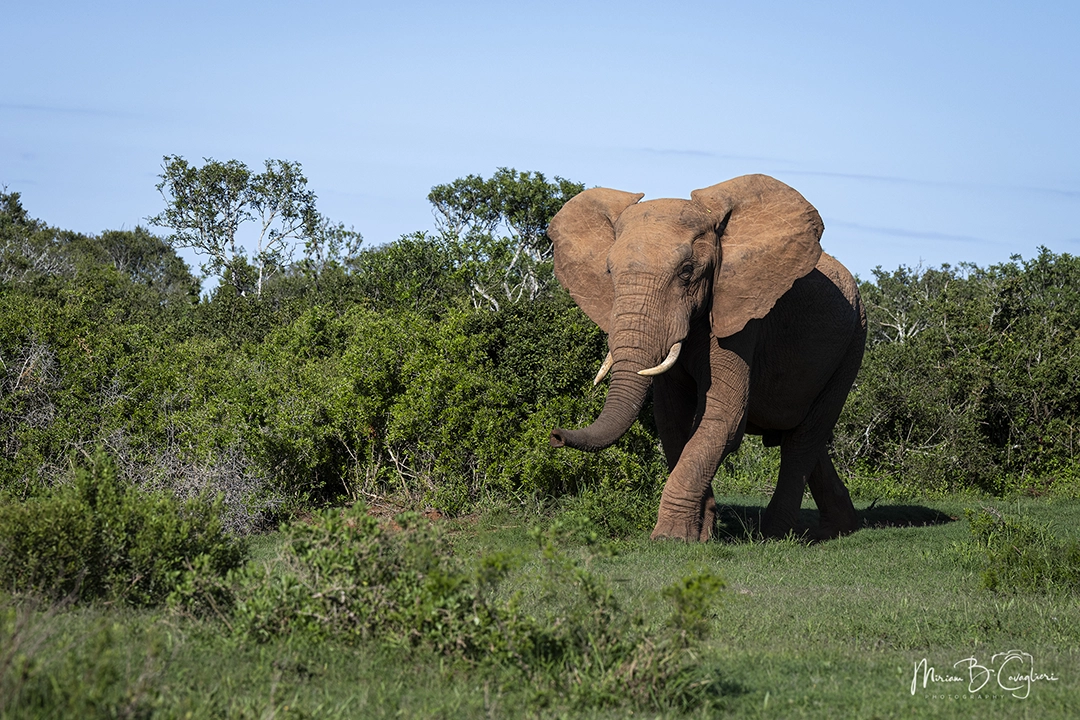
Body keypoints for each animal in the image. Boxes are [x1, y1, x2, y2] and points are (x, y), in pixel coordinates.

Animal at [547, 174, 866, 542]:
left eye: (687, 271)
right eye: (610, 272)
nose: (555, 436)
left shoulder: (741, 315)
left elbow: (722, 417)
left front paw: (670, 538)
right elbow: (673, 421)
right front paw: (700, 534)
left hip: (853, 344)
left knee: (803, 440)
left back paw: (774, 535)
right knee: (806, 439)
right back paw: (840, 528)